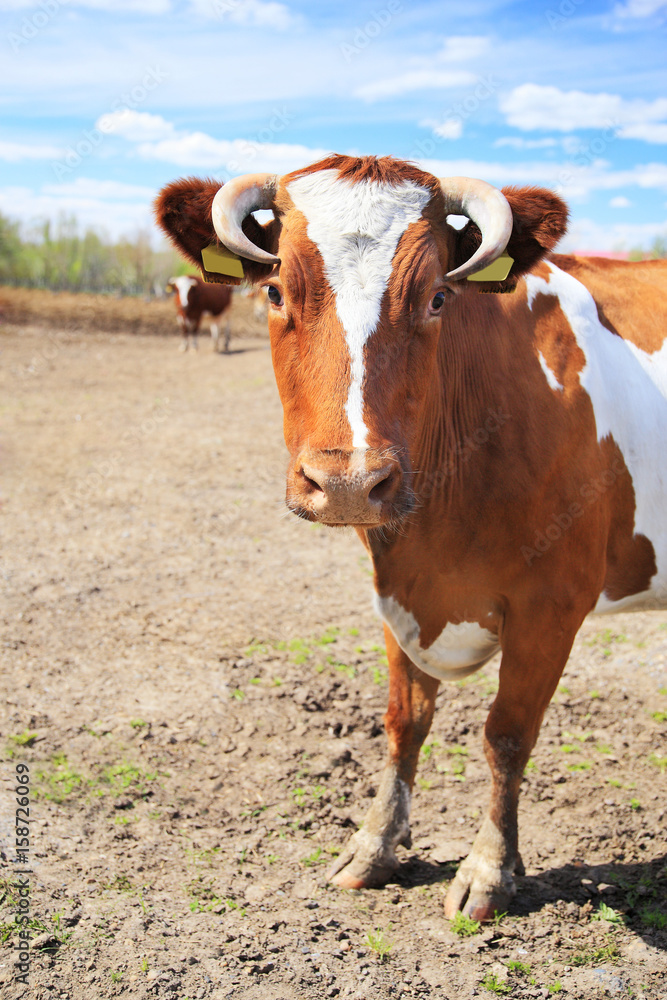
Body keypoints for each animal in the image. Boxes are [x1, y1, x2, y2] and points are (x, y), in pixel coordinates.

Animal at [154, 154, 664, 920]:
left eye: (437, 299)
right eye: (274, 290)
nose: (347, 483)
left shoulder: (553, 605)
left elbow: (506, 735)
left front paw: (489, 869)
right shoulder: (398, 592)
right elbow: (403, 722)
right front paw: (375, 845)